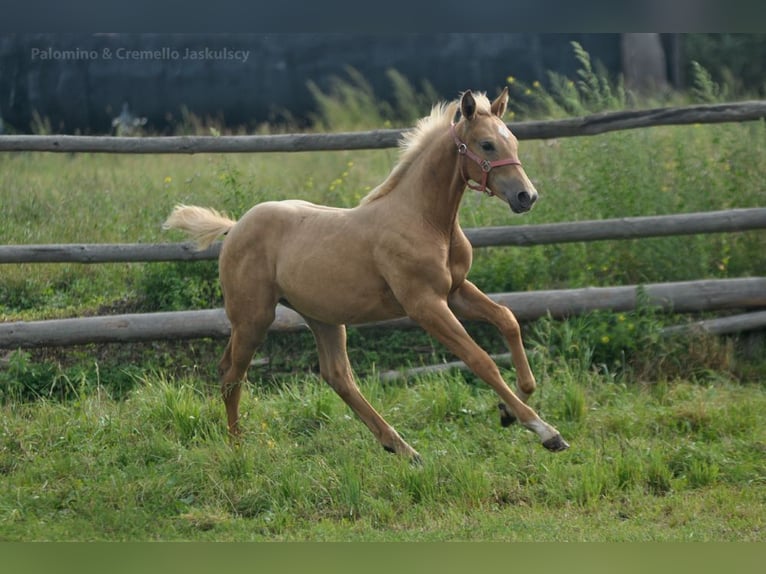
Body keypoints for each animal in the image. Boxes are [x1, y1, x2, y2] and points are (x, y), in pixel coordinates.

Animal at [170, 88, 576, 462]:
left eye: (514, 140)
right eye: (487, 144)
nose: (526, 196)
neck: (426, 220)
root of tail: (234, 226)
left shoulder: (456, 290)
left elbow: (507, 319)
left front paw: (510, 411)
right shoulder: (424, 304)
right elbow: (480, 359)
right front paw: (545, 430)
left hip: (322, 317)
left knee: (338, 376)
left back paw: (403, 449)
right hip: (253, 317)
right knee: (231, 374)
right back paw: (238, 449)